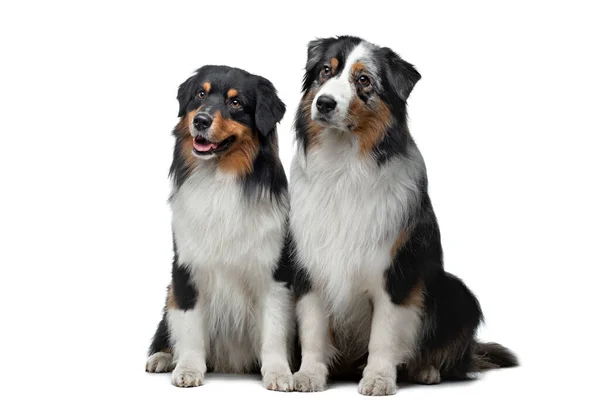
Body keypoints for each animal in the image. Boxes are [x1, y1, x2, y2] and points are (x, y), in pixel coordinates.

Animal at [145, 65, 296, 390]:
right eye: (200, 95)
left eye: (235, 102)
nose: (200, 120)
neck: (219, 177)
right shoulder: (187, 270)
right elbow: (190, 326)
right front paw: (188, 369)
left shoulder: (273, 273)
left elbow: (274, 330)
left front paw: (278, 372)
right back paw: (161, 358)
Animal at [288, 36, 516, 396]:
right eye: (326, 70)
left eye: (364, 80)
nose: (324, 103)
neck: (344, 166)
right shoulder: (309, 266)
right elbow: (312, 328)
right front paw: (309, 374)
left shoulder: (396, 271)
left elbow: (384, 333)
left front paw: (379, 378)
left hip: (456, 291)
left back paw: (426, 370)